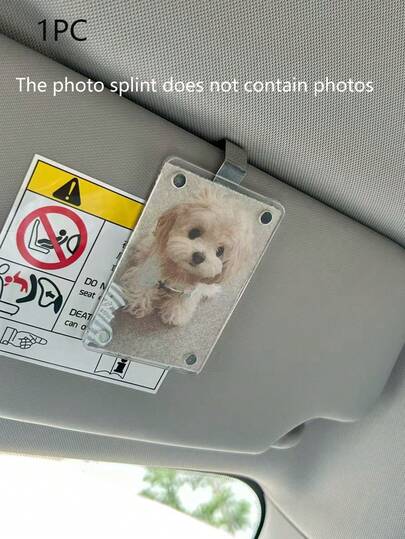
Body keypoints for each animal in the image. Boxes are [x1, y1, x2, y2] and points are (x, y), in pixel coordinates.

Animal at [121, 186, 253, 327]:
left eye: (220, 251)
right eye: (194, 232)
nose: (199, 257)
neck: (179, 270)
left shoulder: (190, 291)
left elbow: (184, 301)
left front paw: (176, 312)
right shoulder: (152, 270)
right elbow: (143, 284)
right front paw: (138, 301)